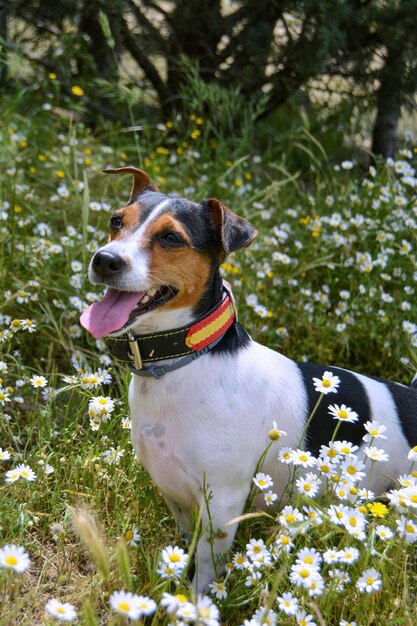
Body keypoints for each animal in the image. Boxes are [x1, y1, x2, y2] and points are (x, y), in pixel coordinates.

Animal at [80, 167, 416, 588]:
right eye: (115, 221)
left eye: (171, 237)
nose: (104, 260)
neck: (186, 362)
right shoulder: (173, 492)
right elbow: (184, 546)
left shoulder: (223, 502)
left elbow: (205, 566)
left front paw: (195, 598)